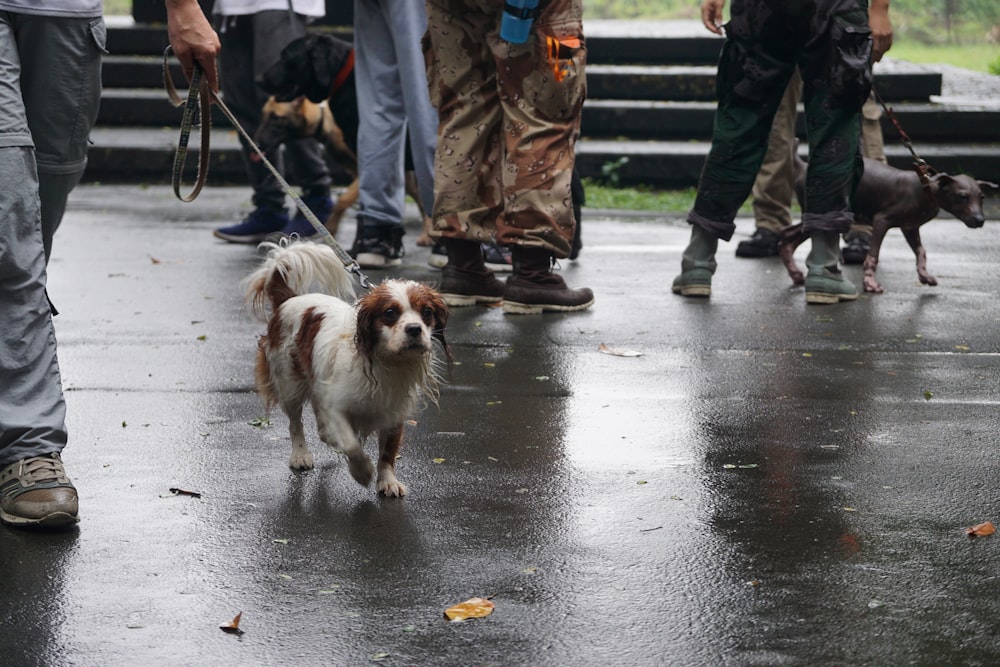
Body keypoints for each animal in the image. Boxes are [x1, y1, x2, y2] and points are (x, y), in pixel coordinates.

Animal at [244, 241, 448, 496]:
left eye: (427, 312)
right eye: (390, 313)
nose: (414, 329)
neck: (386, 363)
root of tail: (289, 299)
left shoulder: (394, 411)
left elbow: (388, 453)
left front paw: (387, 481)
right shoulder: (336, 405)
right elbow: (351, 444)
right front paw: (362, 471)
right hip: (289, 385)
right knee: (295, 424)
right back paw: (300, 455)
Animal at [776, 158, 996, 294]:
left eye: (981, 197)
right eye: (962, 196)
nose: (980, 220)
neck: (926, 189)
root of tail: (803, 166)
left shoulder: (910, 227)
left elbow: (921, 252)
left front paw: (924, 276)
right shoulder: (881, 221)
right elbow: (872, 256)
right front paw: (870, 284)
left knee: (787, 236)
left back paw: (795, 274)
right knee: (788, 235)